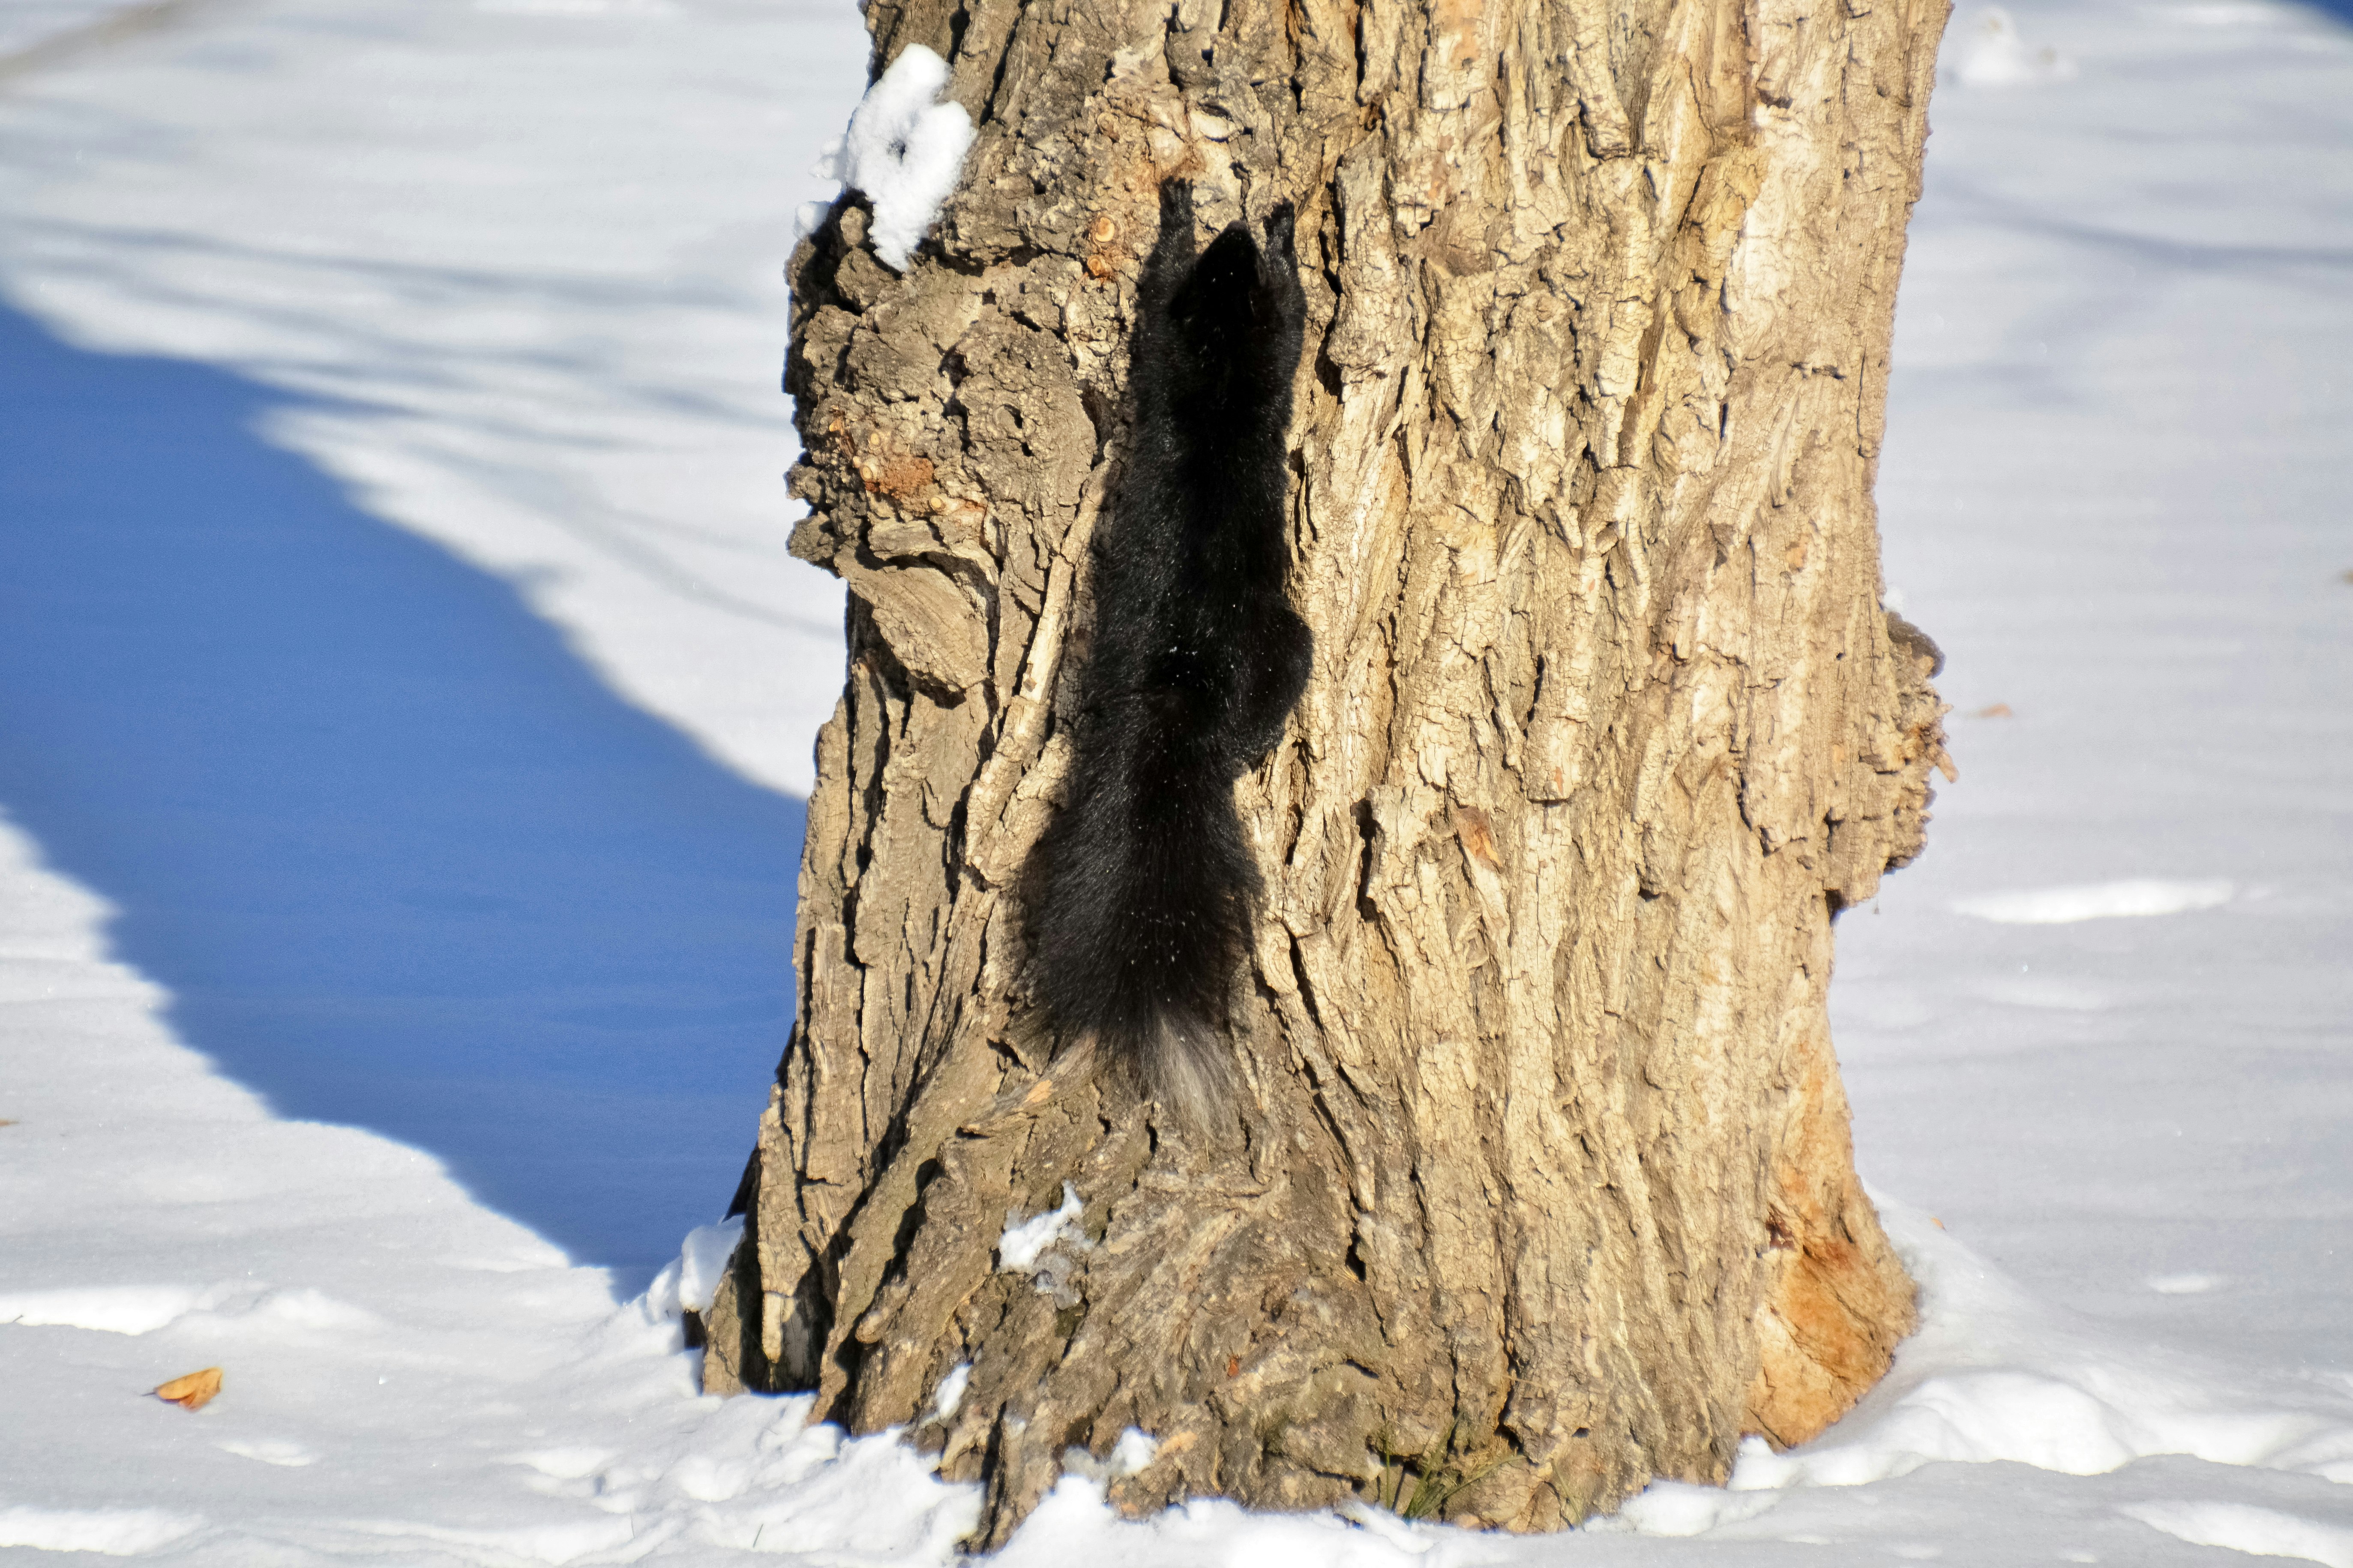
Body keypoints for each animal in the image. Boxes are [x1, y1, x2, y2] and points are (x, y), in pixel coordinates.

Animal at [1035, 184, 1327, 1128]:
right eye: (1230, 261)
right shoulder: (1267, 348)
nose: (1237, 225)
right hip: (1280, 644)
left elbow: (1153, 300)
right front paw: (1269, 224)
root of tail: (1176, 675)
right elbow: (1298, 316)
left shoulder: (1168, 345)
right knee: (1281, 679)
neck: (1215, 379)